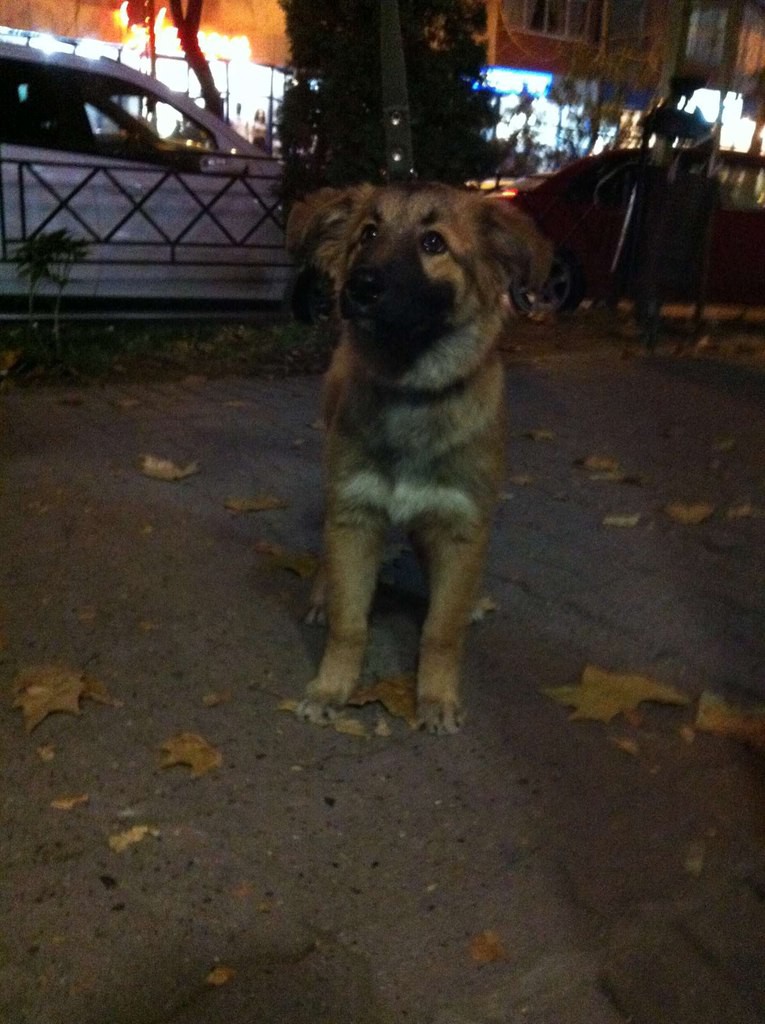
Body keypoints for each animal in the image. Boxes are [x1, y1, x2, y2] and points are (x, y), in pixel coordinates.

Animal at [286, 182, 550, 733]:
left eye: (434, 243)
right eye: (368, 233)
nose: (360, 287)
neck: (411, 389)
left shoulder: (462, 527)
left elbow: (441, 631)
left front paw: (436, 697)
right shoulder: (355, 514)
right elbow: (349, 623)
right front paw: (331, 686)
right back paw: (321, 594)